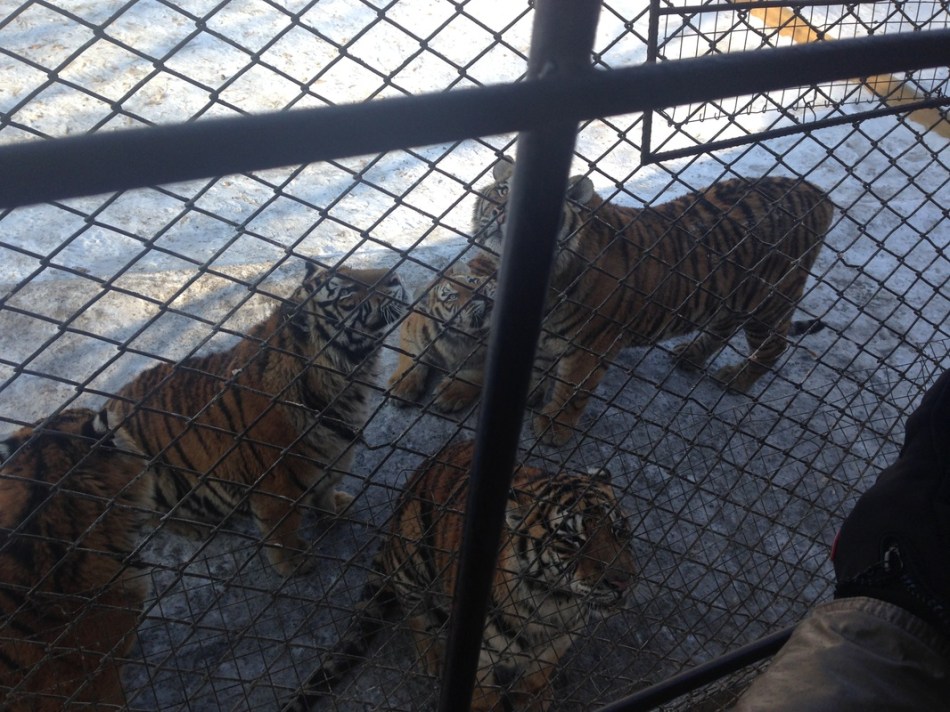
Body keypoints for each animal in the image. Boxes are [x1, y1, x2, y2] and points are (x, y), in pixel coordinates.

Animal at [108, 263, 406, 577]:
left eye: (355, 269)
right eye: (348, 293)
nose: (395, 276)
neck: (344, 383)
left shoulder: (333, 460)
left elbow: (325, 491)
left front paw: (335, 509)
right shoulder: (275, 489)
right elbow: (280, 532)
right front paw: (294, 562)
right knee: (149, 513)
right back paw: (193, 526)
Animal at [283, 439, 636, 712]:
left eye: (618, 529)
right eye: (572, 540)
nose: (622, 583)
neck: (553, 605)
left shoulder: (561, 640)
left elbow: (539, 672)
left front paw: (533, 699)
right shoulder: (477, 655)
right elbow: (483, 695)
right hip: (413, 559)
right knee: (415, 616)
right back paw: (433, 658)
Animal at [388, 269, 496, 413]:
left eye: (473, 281)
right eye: (451, 297)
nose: (480, 294)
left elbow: (475, 372)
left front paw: (449, 394)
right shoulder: (409, 330)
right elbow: (410, 358)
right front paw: (401, 386)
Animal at [472, 156, 833, 445]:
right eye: (502, 190)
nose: (503, 214)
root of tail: (818, 193)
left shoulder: (591, 345)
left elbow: (572, 389)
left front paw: (554, 427)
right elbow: (537, 368)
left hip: (767, 303)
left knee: (774, 347)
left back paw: (736, 380)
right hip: (729, 296)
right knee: (723, 328)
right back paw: (690, 356)